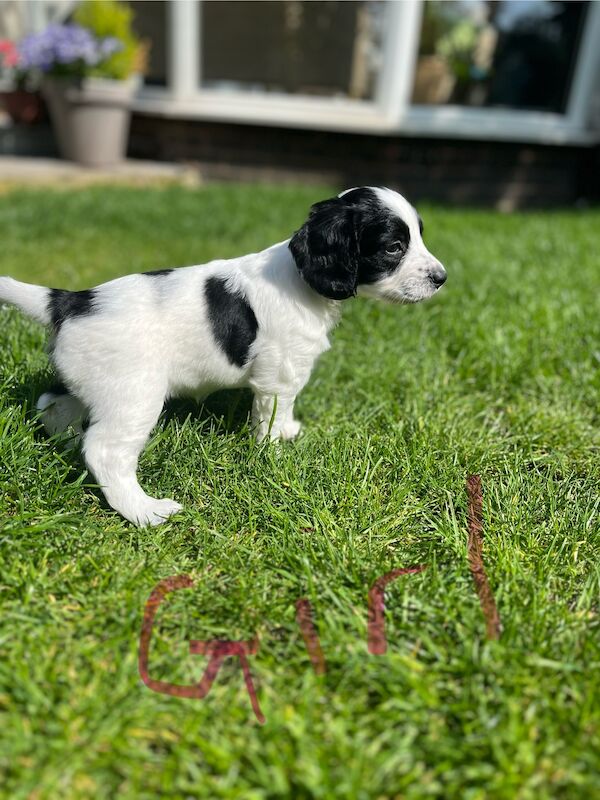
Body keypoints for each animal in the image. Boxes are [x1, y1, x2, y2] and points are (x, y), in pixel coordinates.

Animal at [0, 187, 446, 524]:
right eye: (394, 247)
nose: (441, 278)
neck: (299, 277)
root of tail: (70, 301)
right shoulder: (280, 375)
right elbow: (273, 417)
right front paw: (277, 451)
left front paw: (288, 434)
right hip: (133, 397)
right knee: (105, 450)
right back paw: (145, 511)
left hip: (90, 381)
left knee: (52, 404)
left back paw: (67, 444)